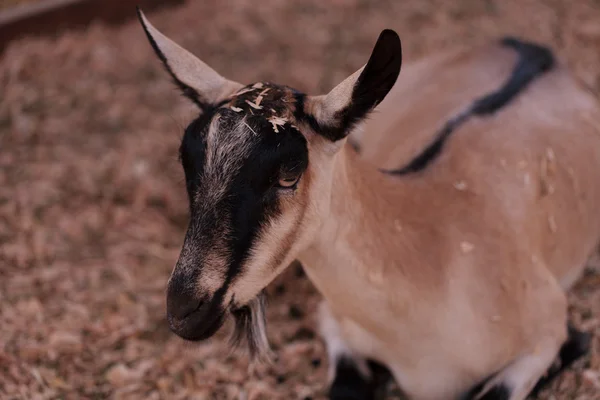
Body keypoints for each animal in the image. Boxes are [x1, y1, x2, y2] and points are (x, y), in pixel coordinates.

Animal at [137, 9, 600, 400]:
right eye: (187, 162)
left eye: (288, 174)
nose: (184, 310)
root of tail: (523, 46)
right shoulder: (334, 323)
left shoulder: (546, 334)